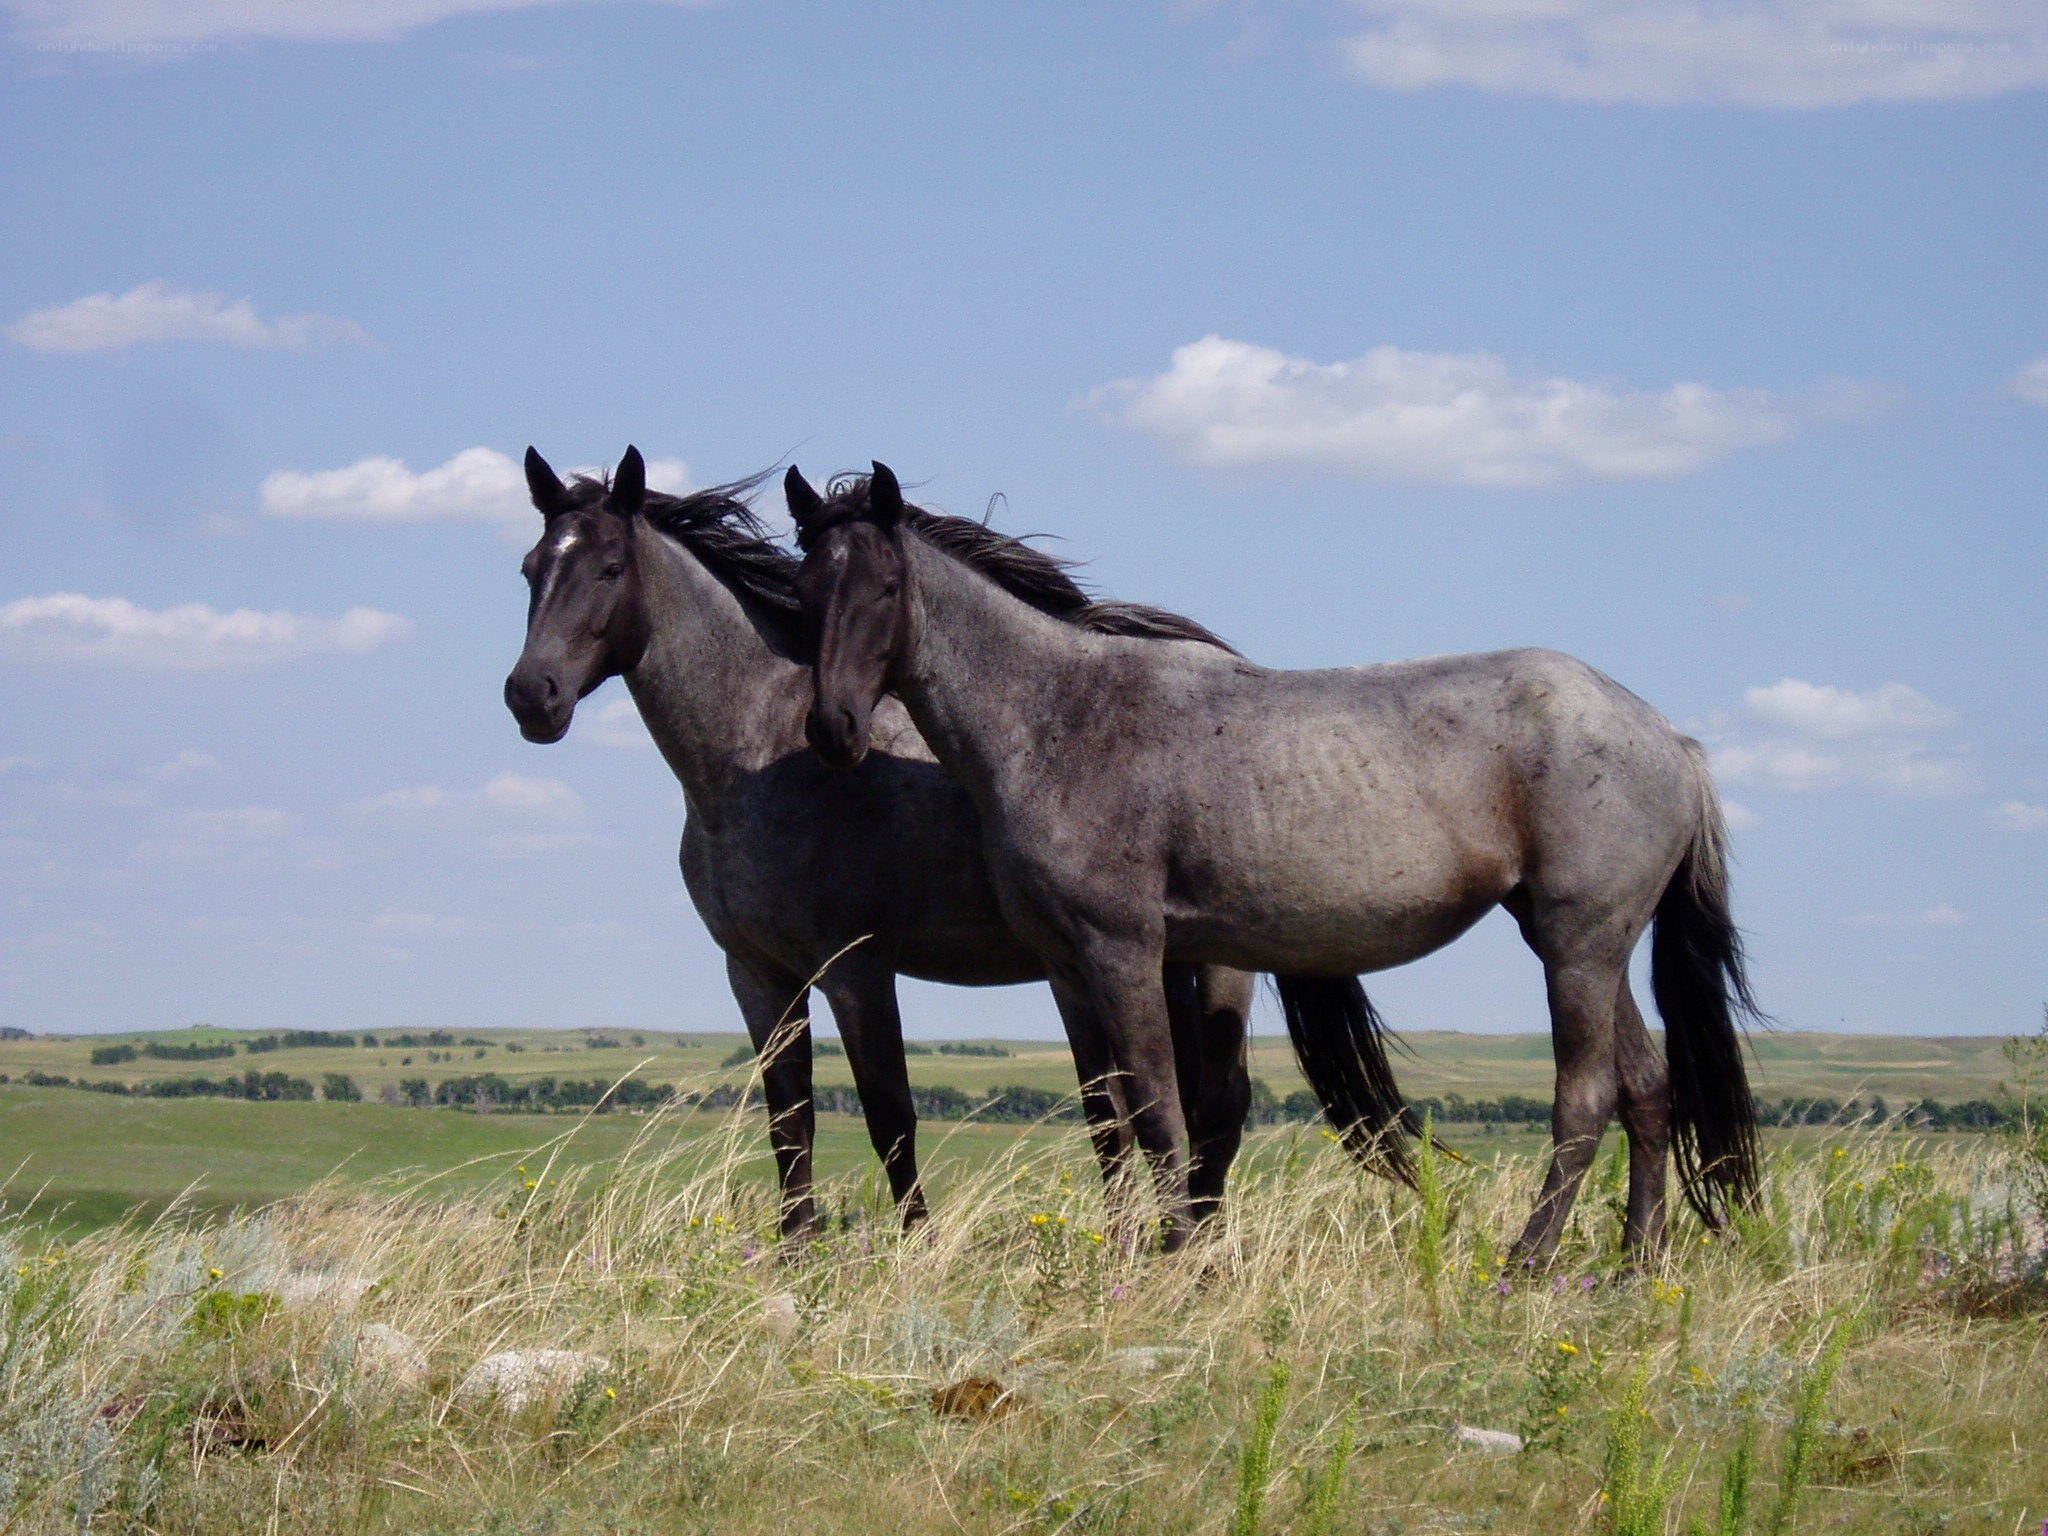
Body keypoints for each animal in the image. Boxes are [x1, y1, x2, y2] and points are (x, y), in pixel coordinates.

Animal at [503, 446, 1256, 1237]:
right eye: (530, 568)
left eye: (611, 568)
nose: (531, 695)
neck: (755, 757)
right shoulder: (757, 975)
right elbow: (790, 1122)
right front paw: (796, 1249)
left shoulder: (856, 968)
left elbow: (891, 1114)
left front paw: (914, 1244)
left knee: (1216, 1108)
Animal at [786, 461, 1762, 1260]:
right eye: (803, 590)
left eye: (885, 585)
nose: (832, 729)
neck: (1057, 716)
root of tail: (1668, 739)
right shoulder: (1065, 966)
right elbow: (1108, 1116)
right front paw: (1122, 1253)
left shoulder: (1126, 951)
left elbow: (1160, 1109)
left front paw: (1175, 1257)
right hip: (1590, 946)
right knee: (1647, 1089)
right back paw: (1635, 1263)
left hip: (1576, 948)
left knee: (1584, 1097)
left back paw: (1527, 1264)